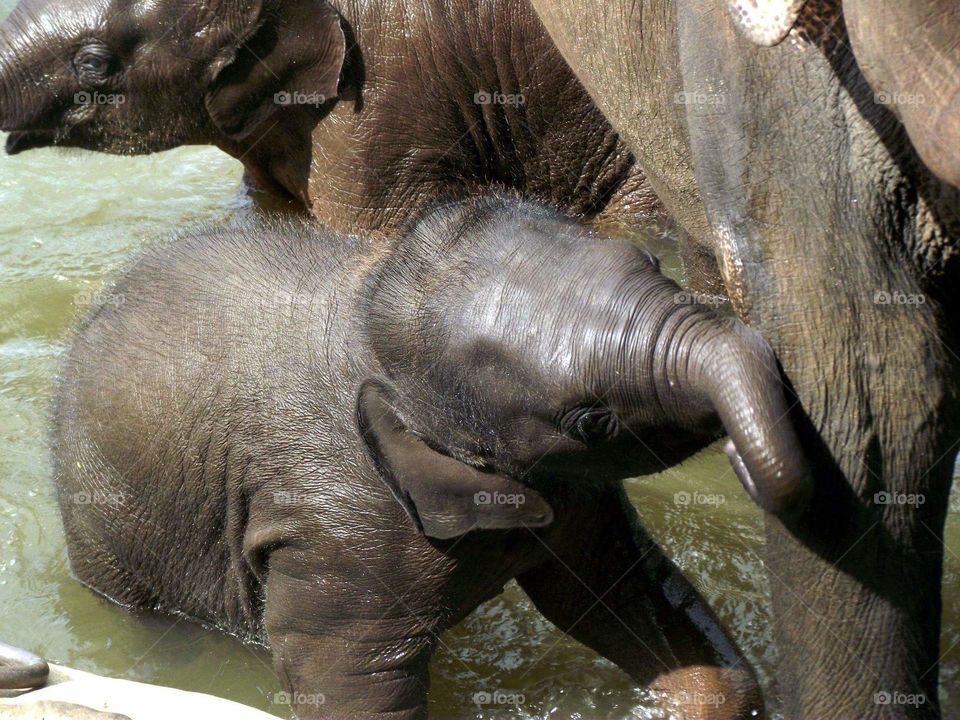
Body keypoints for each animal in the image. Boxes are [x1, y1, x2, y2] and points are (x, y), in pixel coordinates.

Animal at [52, 194, 811, 719]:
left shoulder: (577, 495)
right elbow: (344, 676)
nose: (747, 460)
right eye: (591, 420)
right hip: (103, 522)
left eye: (650, 263)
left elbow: (619, 590)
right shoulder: (334, 523)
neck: (370, 306)